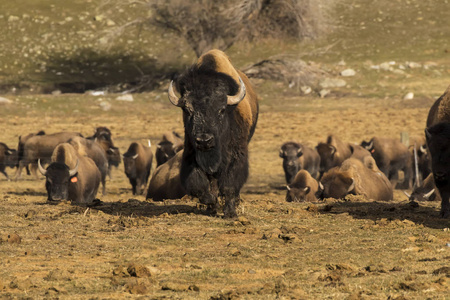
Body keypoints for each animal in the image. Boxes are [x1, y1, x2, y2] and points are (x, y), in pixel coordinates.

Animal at [166, 49, 258, 218]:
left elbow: (229, 185)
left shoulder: (237, 155)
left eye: (221, 110)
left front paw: (230, 213)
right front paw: (210, 202)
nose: (204, 140)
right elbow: (201, 184)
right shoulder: (191, 153)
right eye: (187, 110)